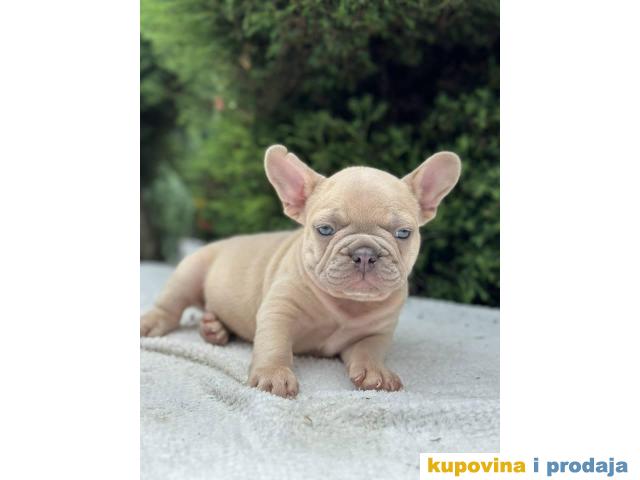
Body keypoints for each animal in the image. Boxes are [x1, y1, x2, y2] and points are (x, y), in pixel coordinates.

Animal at [140, 145, 461, 397]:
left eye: (404, 233)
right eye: (325, 229)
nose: (364, 254)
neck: (347, 304)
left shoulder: (376, 332)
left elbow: (369, 350)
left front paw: (375, 372)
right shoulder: (279, 311)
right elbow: (275, 343)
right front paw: (273, 374)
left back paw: (214, 328)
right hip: (189, 273)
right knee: (170, 305)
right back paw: (154, 323)